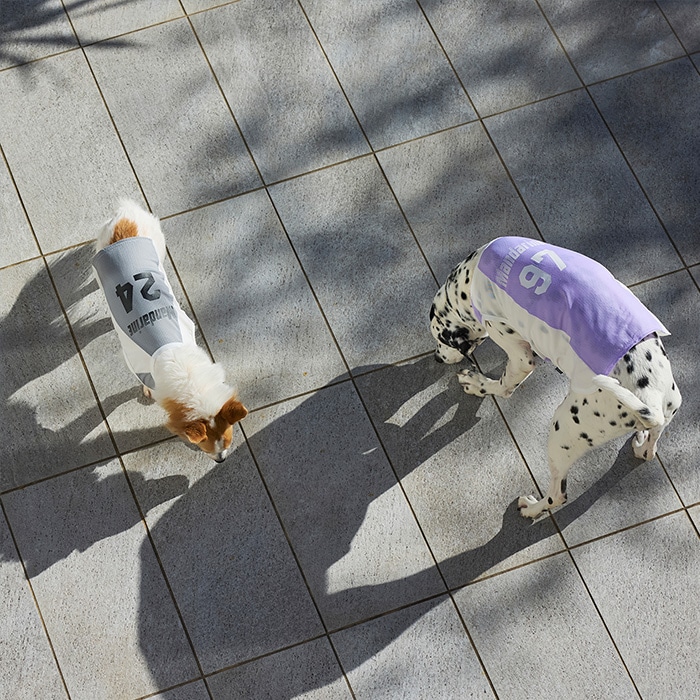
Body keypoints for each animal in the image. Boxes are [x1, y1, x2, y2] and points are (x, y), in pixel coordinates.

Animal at [93, 201, 247, 462]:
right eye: (205, 448)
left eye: (228, 441)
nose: (222, 459)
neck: (189, 381)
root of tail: (126, 218)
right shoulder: (137, 362)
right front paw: (146, 390)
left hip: (159, 247)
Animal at [430, 236, 681, 518]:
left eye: (439, 340)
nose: (436, 358)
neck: (467, 280)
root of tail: (652, 402)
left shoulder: (518, 353)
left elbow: (504, 384)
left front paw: (476, 384)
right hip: (657, 420)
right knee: (649, 450)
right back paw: (641, 443)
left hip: (562, 431)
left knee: (557, 495)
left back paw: (532, 508)